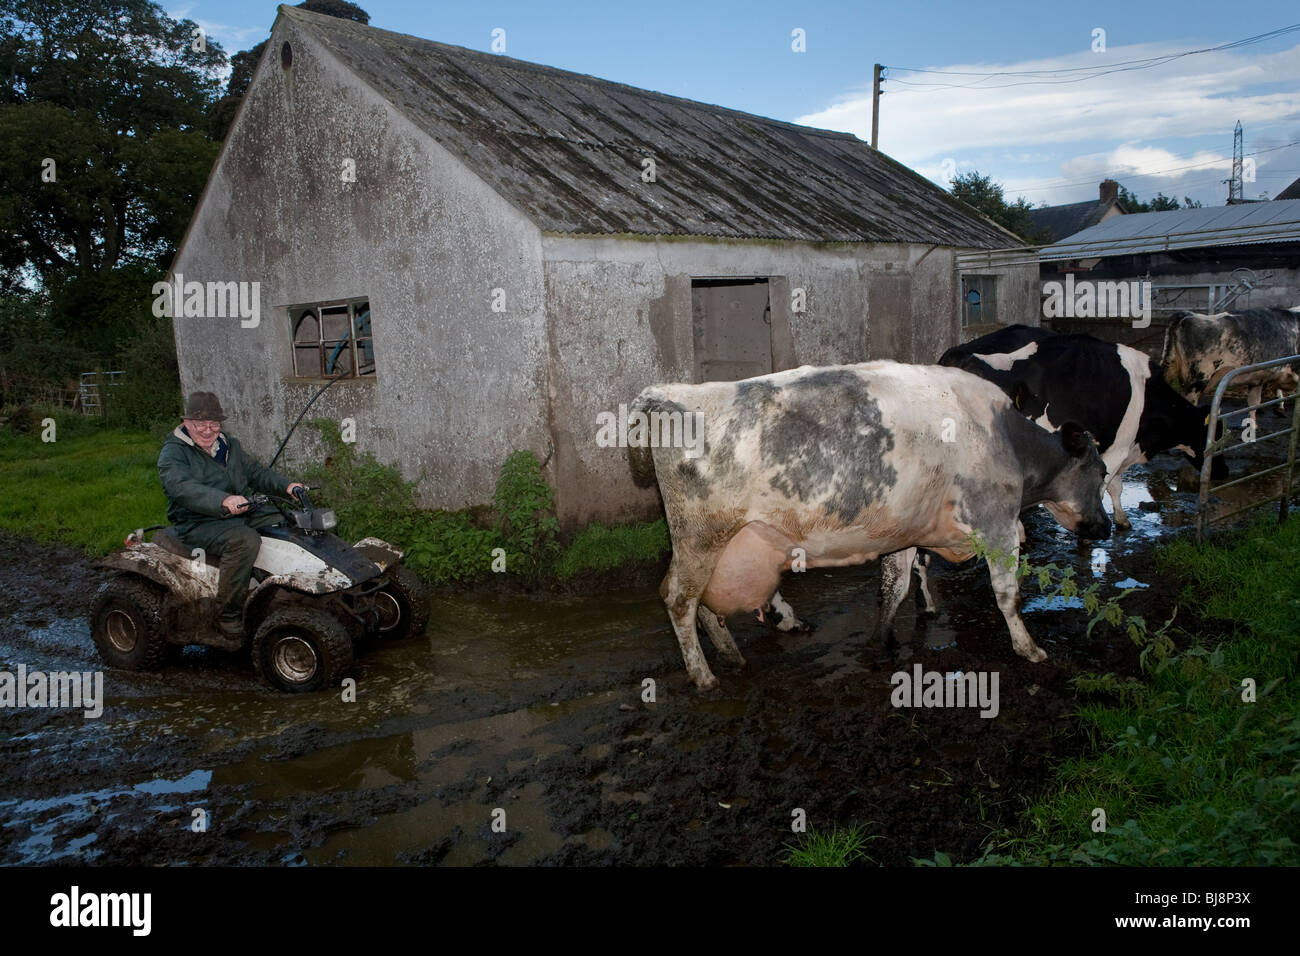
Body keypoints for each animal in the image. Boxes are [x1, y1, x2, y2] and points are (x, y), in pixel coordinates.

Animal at [626, 361, 1107, 691]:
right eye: (1100, 472)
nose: (1104, 528)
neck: (1005, 438)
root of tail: (669, 393)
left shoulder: (908, 531)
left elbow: (896, 586)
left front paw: (882, 639)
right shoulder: (998, 524)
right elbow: (1008, 594)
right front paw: (1029, 648)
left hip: (723, 546)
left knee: (706, 605)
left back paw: (731, 656)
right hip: (700, 536)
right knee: (679, 599)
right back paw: (703, 675)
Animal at [941, 325, 1222, 528]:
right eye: (1214, 436)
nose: (1223, 471)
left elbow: (1114, 486)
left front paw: (1121, 520)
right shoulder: (1117, 447)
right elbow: (1107, 485)